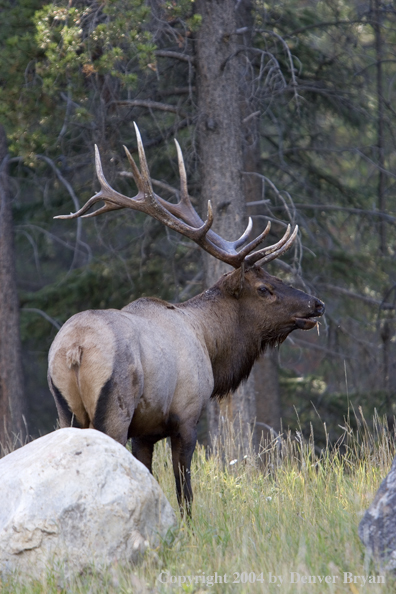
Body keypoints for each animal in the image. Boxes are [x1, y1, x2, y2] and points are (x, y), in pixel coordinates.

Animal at [48, 125, 324, 512]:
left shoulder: (145, 432)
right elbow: (185, 489)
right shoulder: (187, 415)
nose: (316, 304)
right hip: (114, 408)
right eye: (264, 288)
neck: (210, 343)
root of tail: (75, 349)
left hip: (65, 409)